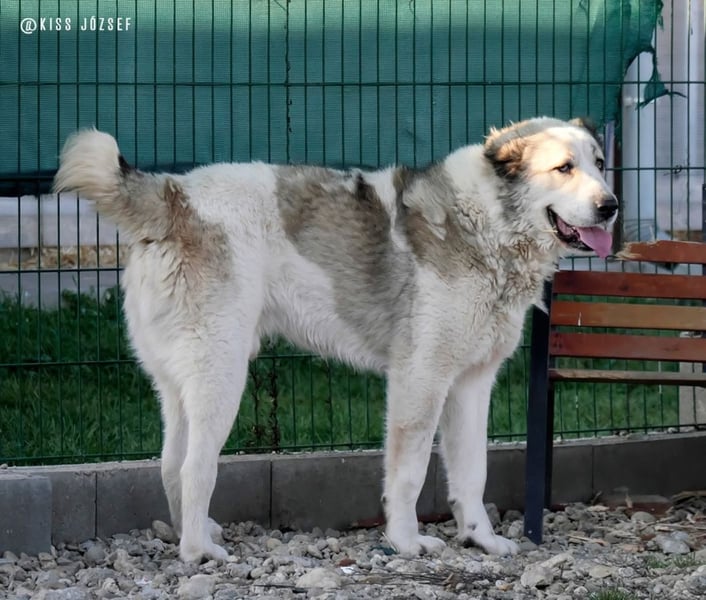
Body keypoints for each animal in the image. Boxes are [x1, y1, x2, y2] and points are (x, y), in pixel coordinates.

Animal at [54, 117, 617, 562]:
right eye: (564, 168)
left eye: (599, 163)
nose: (611, 205)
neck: (485, 225)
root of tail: (173, 194)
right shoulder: (420, 380)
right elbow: (409, 474)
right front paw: (406, 543)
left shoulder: (472, 385)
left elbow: (471, 472)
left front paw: (480, 539)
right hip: (222, 376)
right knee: (195, 467)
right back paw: (199, 551)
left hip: (179, 384)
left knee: (171, 463)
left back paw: (191, 534)